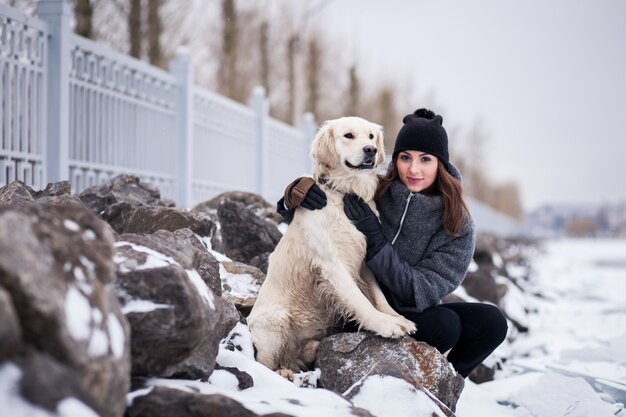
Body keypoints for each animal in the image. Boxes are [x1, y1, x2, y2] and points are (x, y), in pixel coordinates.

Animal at [247, 116, 414, 374]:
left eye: (371, 136)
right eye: (348, 135)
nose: (371, 150)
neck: (344, 193)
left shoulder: (365, 259)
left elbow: (378, 296)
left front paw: (396, 317)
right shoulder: (333, 265)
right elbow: (359, 300)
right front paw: (385, 325)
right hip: (274, 321)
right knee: (267, 364)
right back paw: (283, 373)